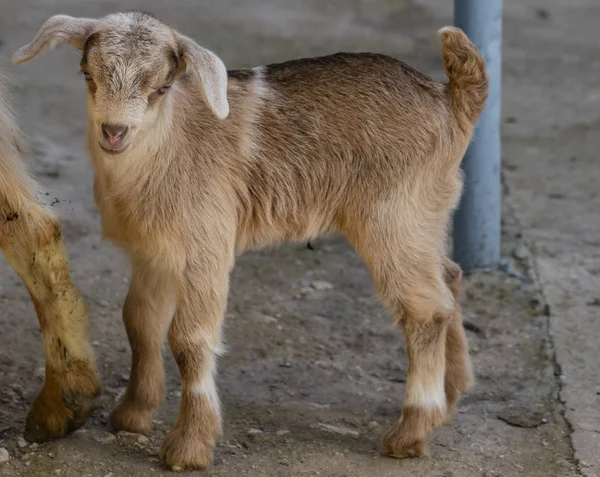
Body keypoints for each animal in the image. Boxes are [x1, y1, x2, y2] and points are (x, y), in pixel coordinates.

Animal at [14, 11, 488, 468]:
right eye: (87, 74)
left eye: (161, 87)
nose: (114, 132)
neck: (169, 145)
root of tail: (452, 100)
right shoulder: (154, 253)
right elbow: (140, 322)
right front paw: (131, 414)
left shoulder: (206, 244)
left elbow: (189, 339)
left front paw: (189, 447)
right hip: (426, 216)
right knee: (449, 279)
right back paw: (451, 394)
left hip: (393, 217)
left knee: (425, 309)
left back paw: (411, 431)